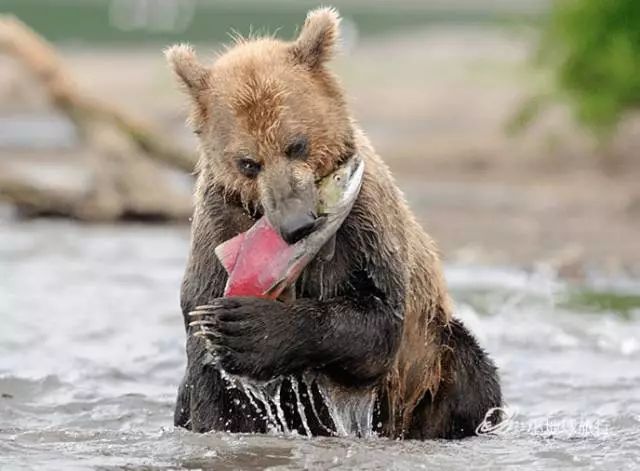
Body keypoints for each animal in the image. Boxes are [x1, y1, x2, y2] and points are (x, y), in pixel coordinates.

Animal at [165, 7, 500, 440]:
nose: (296, 224)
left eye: (297, 144)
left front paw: (248, 327)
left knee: (473, 378)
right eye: (248, 162)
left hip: (433, 353)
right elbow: (209, 368)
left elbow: (375, 317)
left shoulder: (364, 226)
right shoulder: (220, 222)